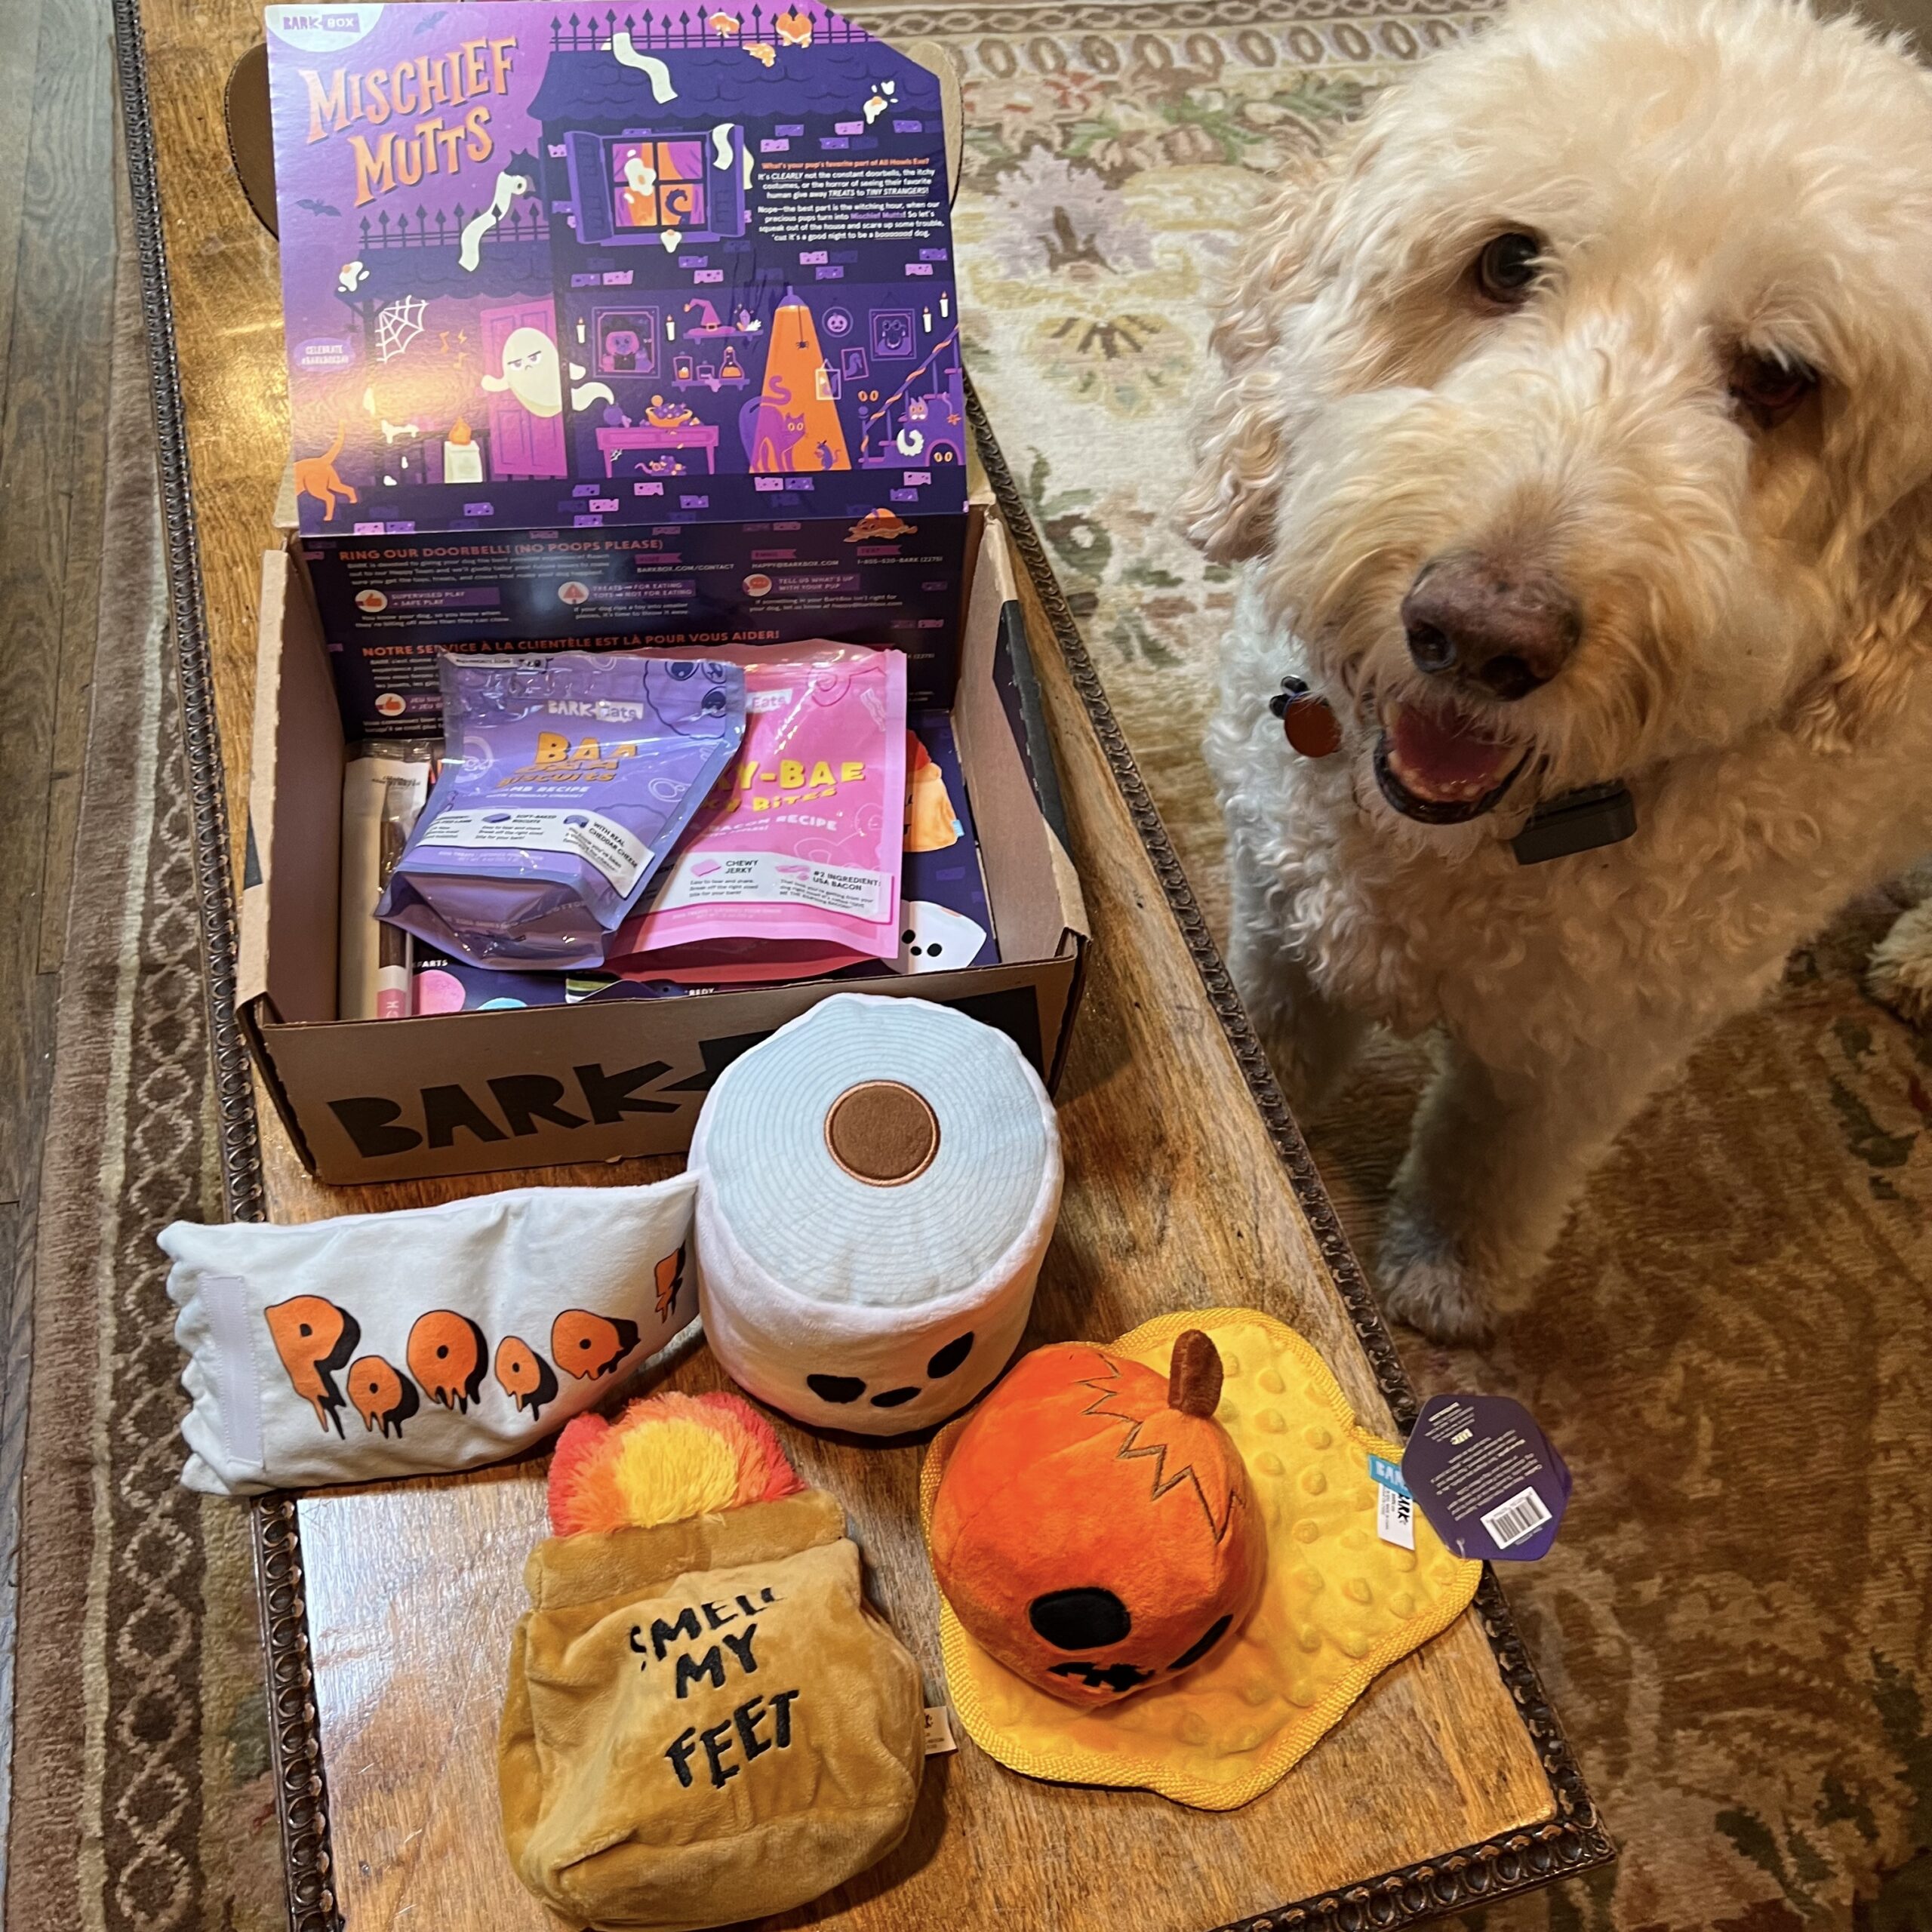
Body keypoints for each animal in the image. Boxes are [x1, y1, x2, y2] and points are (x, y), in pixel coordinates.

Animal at [1179, 0, 1932, 1342]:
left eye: (1782, 380)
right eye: (1506, 262)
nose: (1479, 635)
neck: (1454, 849)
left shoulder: (1595, 1042)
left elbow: (1501, 1156)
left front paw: (1449, 1278)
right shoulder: (1280, 906)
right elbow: (1260, 1043)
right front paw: (1270, 1135)